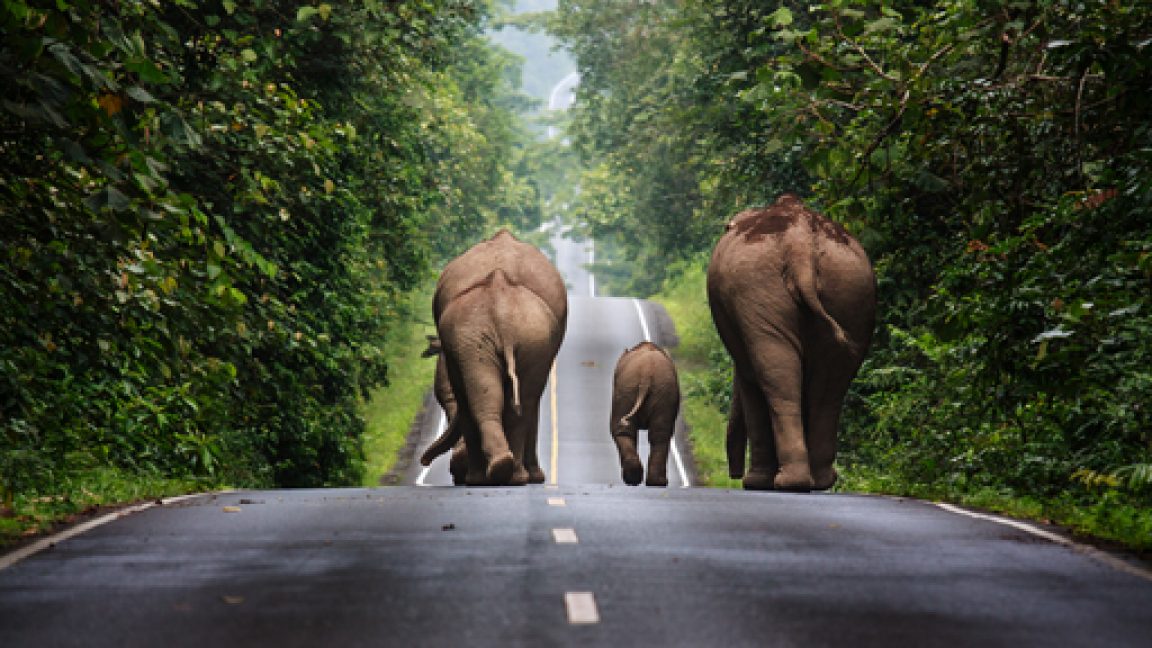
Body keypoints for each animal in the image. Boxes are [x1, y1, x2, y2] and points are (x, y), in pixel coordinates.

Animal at [423, 229, 566, 481]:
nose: (424, 461)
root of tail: (502, 309)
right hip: (504, 338)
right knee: (518, 399)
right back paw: (506, 472)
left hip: (506, 337)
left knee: (507, 397)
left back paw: (495, 475)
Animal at [608, 343, 677, 484]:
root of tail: (646, 375)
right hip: (654, 392)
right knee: (659, 434)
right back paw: (651, 481)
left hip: (631, 390)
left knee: (624, 430)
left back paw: (641, 480)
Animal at [705, 191, 875, 488]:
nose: (734, 475)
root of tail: (800, 242)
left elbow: (748, 379)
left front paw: (754, 482)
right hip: (846, 289)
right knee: (829, 386)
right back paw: (818, 481)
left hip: (762, 287)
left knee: (778, 379)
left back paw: (787, 482)